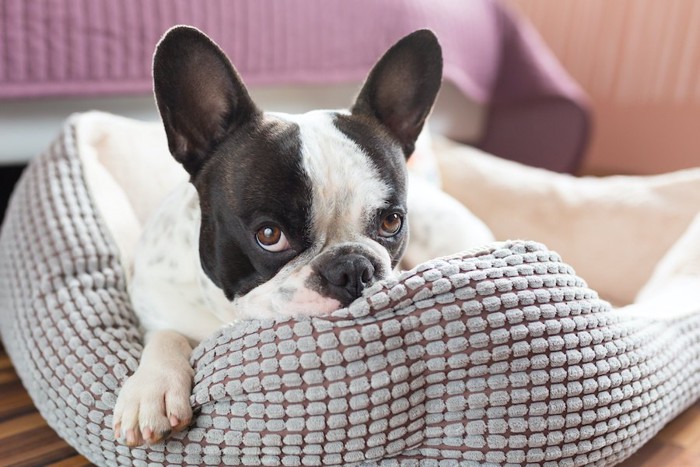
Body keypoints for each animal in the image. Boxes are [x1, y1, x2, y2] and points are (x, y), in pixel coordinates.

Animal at [112, 24, 490, 446]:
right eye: (269, 234)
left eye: (391, 222)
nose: (353, 269)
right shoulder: (155, 304)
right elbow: (166, 335)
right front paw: (153, 389)